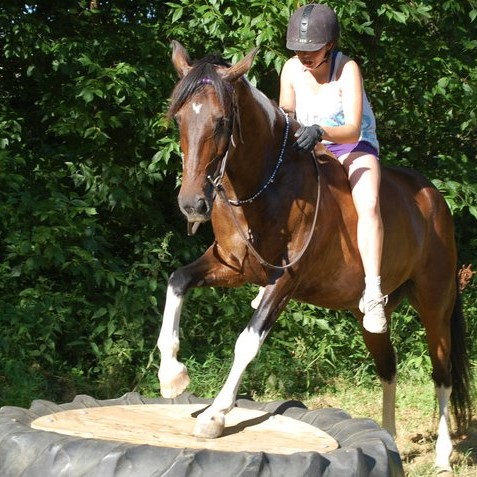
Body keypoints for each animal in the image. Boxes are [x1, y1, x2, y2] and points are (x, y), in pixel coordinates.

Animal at [157, 40, 472, 468]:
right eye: (179, 119)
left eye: (221, 122)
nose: (192, 205)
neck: (266, 185)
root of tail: (436, 201)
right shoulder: (231, 264)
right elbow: (177, 281)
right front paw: (171, 374)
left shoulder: (286, 280)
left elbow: (247, 341)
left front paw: (215, 415)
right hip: (367, 316)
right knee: (388, 368)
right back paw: (388, 438)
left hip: (434, 302)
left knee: (442, 374)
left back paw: (441, 455)